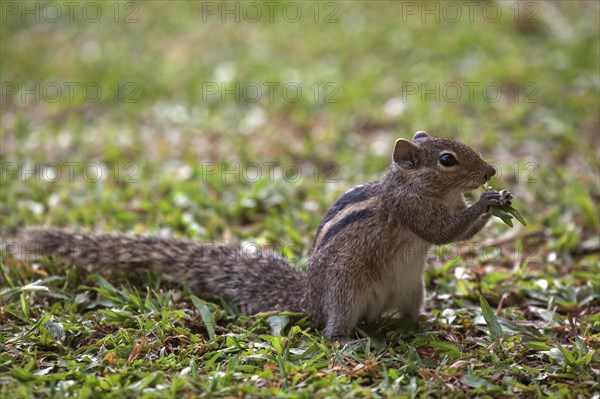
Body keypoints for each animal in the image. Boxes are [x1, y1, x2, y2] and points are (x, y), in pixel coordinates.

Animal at [17, 132, 510, 340]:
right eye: (447, 160)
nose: (490, 171)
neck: (416, 185)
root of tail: (311, 299)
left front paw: (500, 196)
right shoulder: (413, 210)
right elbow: (443, 233)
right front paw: (489, 202)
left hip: (412, 288)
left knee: (408, 314)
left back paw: (427, 324)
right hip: (346, 291)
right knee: (331, 329)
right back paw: (347, 342)